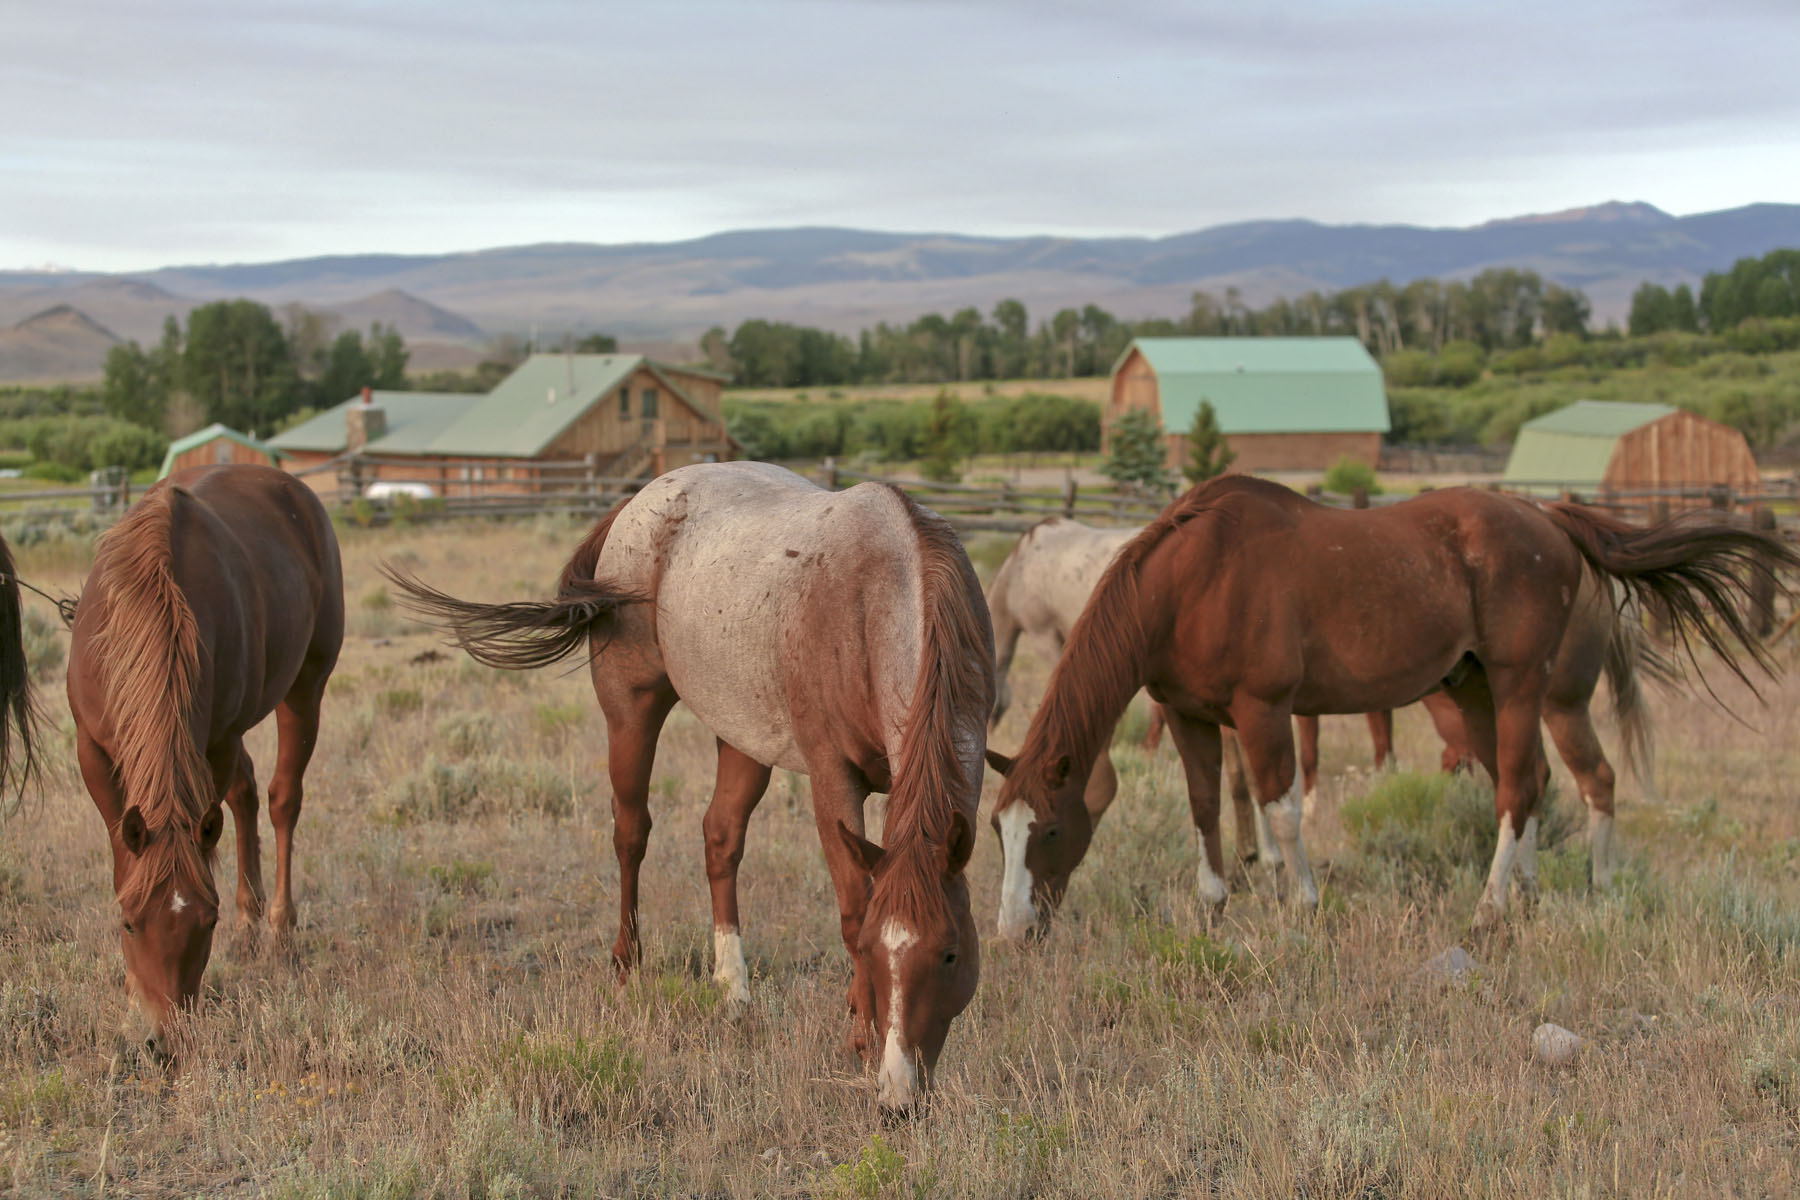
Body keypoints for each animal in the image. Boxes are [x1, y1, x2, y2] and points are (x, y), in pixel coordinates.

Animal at [68, 466, 343, 1057]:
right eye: (129, 924)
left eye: (207, 923)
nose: (164, 1041)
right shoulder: (91, 749)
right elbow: (122, 848)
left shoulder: (214, 741)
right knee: (245, 796)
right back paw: (253, 927)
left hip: (305, 688)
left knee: (282, 800)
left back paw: (278, 934)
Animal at [384, 461, 992, 1112]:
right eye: (877, 952)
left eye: (951, 953)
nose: (900, 1097)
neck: (881, 592)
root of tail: (641, 499)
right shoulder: (834, 779)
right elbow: (853, 906)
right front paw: (860, 1035)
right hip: (631, 713)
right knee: (631, 833)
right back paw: (627, 967)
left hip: (742, 739)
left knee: (720, 839)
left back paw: (733, 989)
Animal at [986, 476, 1791, 939]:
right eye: (999, 831)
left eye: (1050, 829)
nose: (1013, 930)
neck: (1194, 579)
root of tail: (1549, 518)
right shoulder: (1189, 716)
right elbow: (1205, 805)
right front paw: (1214, 904)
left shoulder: (1264, 710)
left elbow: (1284, 807)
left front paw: (1303, 905)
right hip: (1475, 692)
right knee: (1534, 784)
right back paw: (1528, 893)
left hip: (1524, 687)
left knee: (1522, 787)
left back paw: (1496, 907)